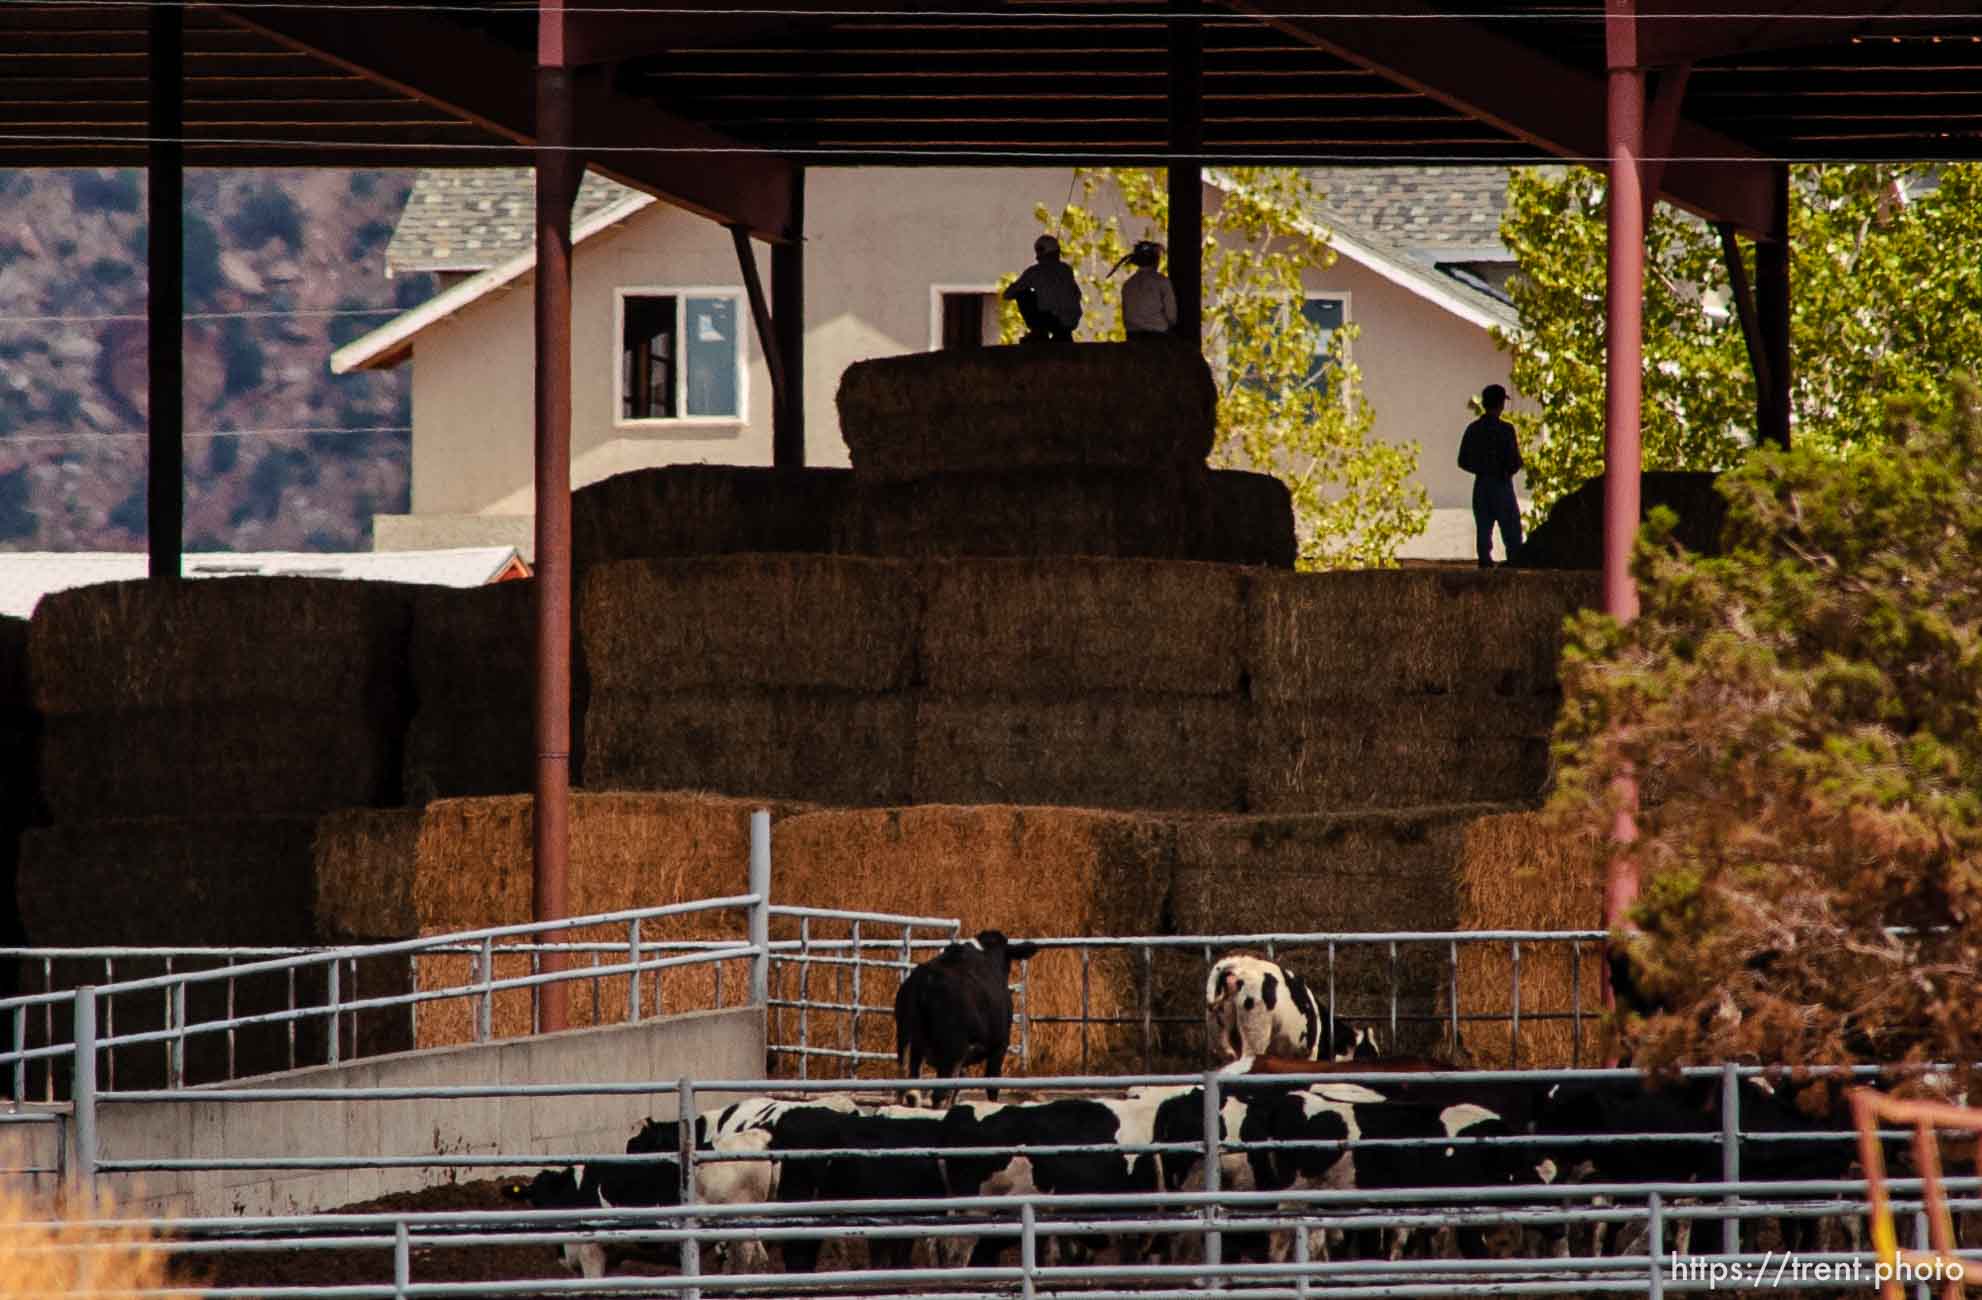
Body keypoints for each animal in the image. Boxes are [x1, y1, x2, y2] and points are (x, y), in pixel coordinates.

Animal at [895, 927, 1038, 1101]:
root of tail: (924, 981)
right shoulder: (1000, 1046)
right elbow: (992, 1086)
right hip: (951, 1050)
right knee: (940, 1095)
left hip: (907, 1044)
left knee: (907, 1091)